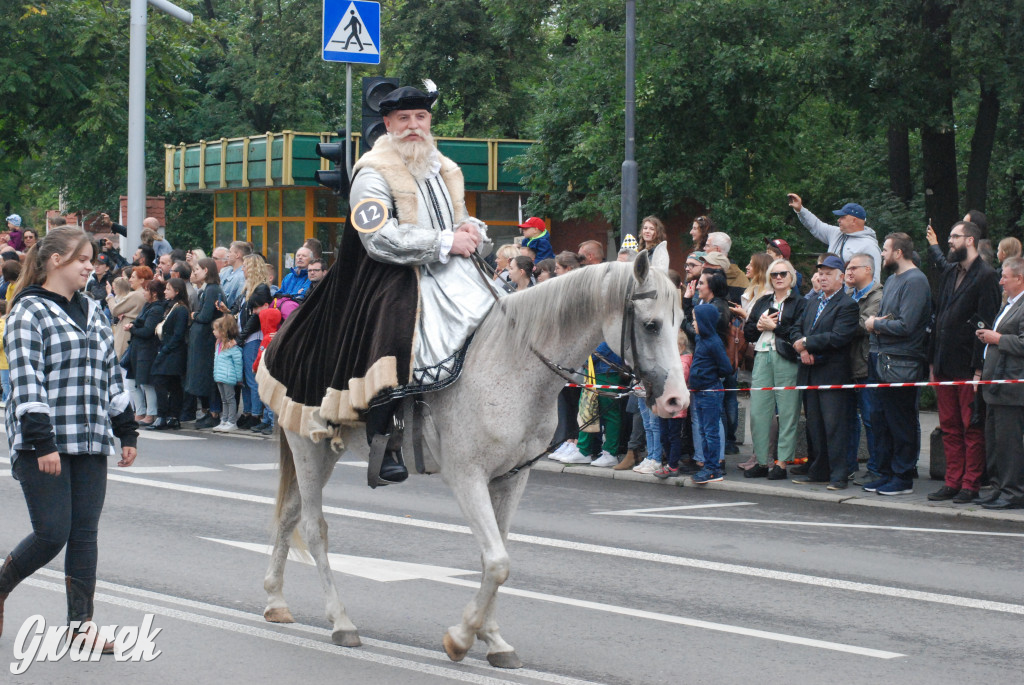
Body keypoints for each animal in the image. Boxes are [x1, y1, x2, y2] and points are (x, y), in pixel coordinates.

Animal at [258, 252, 688, 667]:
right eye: (651, 325)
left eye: (682, 321)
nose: (676, 402)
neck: (512, 365)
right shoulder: (467, 477)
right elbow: (497, 561)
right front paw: (461, 638)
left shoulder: (512, 478)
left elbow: (496, 556)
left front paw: (493, 639)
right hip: (308, 445)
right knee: (314, 528)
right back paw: (341, 622)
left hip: (322, 450)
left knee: (290, 514)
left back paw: (275, 601)